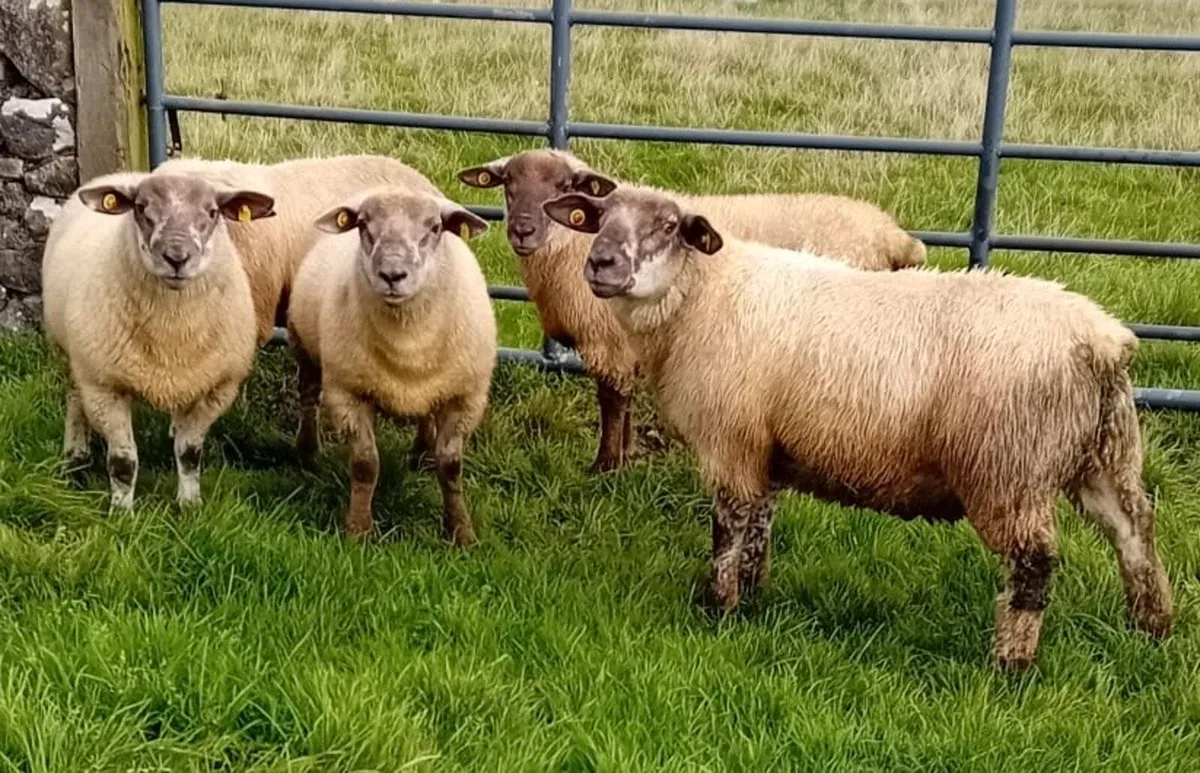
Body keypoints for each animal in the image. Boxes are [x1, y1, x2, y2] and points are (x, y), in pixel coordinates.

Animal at [41, 172, 275, 508]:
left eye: (212, 212)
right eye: (140, 207)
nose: (176, 258)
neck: (171, 331)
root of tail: (122, 175)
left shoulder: (215, 390)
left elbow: (189, 453)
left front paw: (190, 506)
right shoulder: (104, 387)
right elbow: (123, 462)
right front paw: (121, 511)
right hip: (69, 355)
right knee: (74, 401)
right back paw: (75, 459)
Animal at [287, 186, 495, 545]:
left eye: (435, 227)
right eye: (362, 225)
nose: (392, 275)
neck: (408, 341)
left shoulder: (465, 398)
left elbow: (451, 468)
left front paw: (461, 533)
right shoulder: (349, 393)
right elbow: (365, 464)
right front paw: (358, 530)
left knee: (426, 413)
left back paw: (423, 452)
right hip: (302, 341)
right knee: (308, 394)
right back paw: (308, 452)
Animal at [457, 149, 925, 473]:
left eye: (562, 185)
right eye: (507, 183)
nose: (522, 230)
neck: (569, 247)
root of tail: (894, 238)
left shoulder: (607, 342)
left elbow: (611, 402)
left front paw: (605, 467)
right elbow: (625, 405)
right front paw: (626, 456)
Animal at [540, 185, 1173, 672]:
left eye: (669, 225)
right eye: (601, 217)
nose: (599, 264)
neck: (704, 294)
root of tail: (1101, 340)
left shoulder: (731, 441)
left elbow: (728, 529)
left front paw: (718, 608)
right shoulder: (765, 446)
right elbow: (758, 528)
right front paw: (752, 600)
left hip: (1008, 472)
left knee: (1034, 565)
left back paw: (1010, 664)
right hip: (1104, 455)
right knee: (1135, 534)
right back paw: (1152, 628)